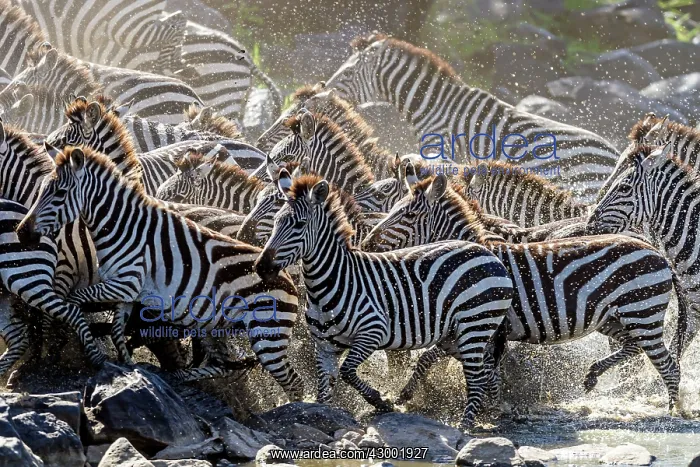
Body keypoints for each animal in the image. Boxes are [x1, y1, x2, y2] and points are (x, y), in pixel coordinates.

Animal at [18, 145, 304, 399]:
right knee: (221, 363)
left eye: (59, 193)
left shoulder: (124, 283)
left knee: (292, 381)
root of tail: (288, 279)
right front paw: (128, 368)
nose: (21, 233)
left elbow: (75, 301)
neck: (123, 226)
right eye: (41, 190)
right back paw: (178, 375)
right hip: (215, 327)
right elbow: (117, 331)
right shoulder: (127, 290)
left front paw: (92, 353)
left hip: (267, 334)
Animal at [253, 170, 514, 429]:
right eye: (276, 222)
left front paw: (382, 402)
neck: (331, 281)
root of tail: (489, 254)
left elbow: (348, 372)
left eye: (300, 225)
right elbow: (324, 393)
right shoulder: (325, 347)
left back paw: (466, 426)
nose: (261, 267)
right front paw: (321, 417)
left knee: (477, 377)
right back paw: (494, 412)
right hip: (455, 335)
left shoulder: (373, 332)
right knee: (487, 370)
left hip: (475, 324)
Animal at [325, 33, 620, 202]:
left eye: (348, 73)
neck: (437, 106)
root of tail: (615, 155)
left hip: (585, 186)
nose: (324, 89)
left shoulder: (440, 147)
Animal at [361, 173, 683, 409]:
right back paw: (593, 376)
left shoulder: (479, 323)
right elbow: (439, 360)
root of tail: (658, 253)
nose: (366, 243)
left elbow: (442, 360)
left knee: (666, 364)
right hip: (613, 317)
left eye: (407, 214)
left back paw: (673, 411)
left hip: (641, 311)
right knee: (633, 346)